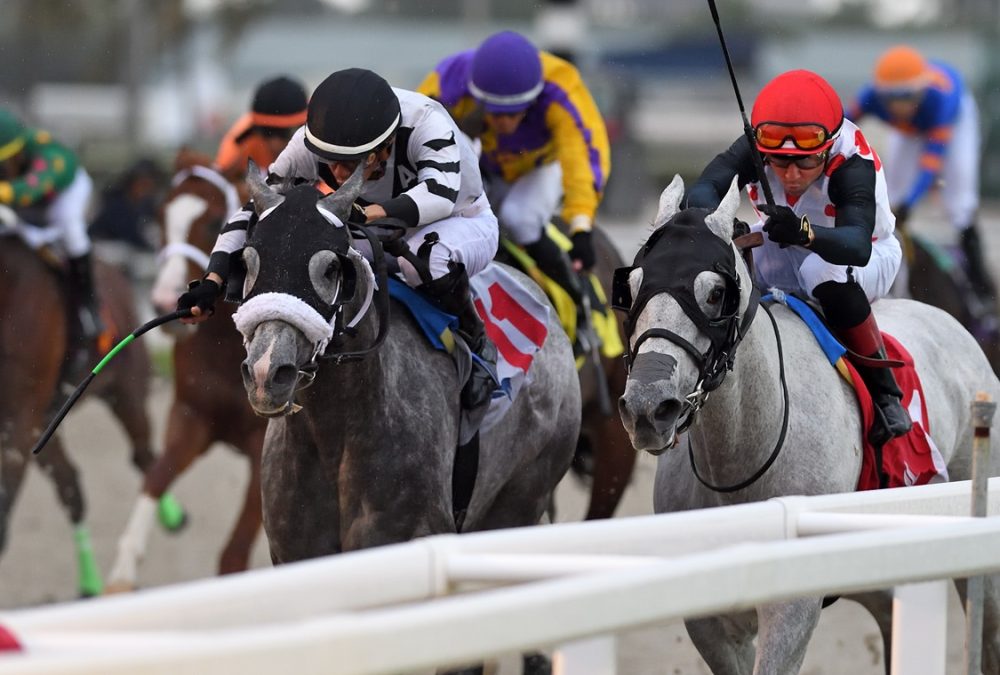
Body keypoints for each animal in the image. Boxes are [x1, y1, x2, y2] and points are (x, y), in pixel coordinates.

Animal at [0, 235, 160, 600]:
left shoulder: (18, 419)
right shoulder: (26, 424)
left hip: (126, 392)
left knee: (145, 455)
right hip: (48, 424)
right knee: (70, 485)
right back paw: (89, 583)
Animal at [107, 154, 268, 592]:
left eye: (214, 221)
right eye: (162, 215)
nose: (165, 300)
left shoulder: (263, 444)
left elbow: (234, 555)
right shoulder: (192, 416)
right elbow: (155, 478)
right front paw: (122, 574)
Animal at [233, 166, 580, 568]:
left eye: (331, 267)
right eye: (249, 261)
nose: (266, 371)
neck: (334, 436)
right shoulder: (294, 552)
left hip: (522, 497)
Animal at [616, 176, 1000, 675]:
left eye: (716, 293)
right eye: (632, 288)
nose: (648, 407)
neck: (741, 457)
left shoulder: (792, 609)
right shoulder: (711, 619)